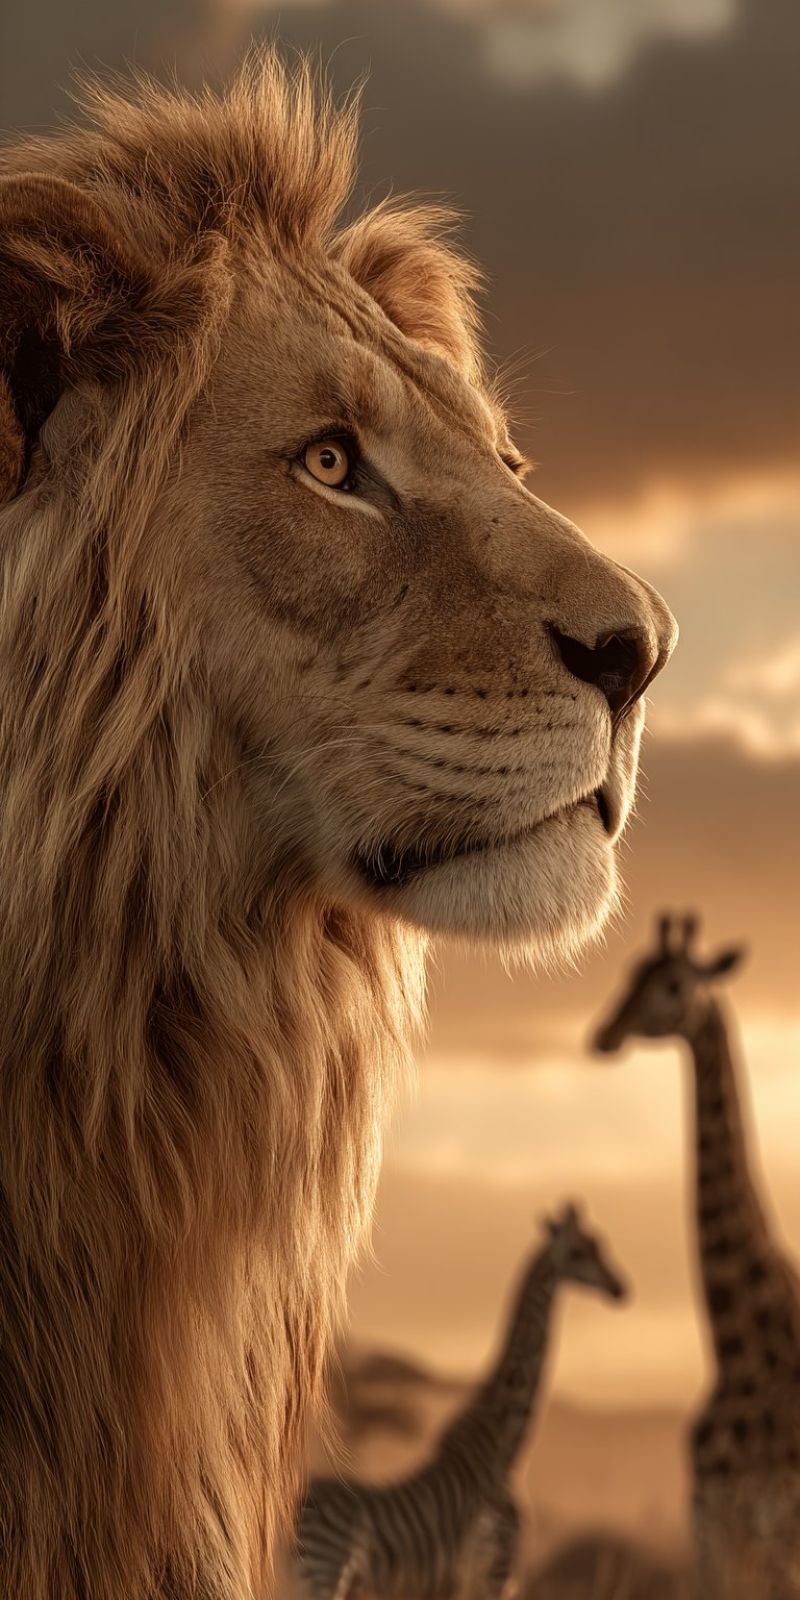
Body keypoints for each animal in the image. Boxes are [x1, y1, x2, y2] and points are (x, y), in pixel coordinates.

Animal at [295, 1201, 629, 1599]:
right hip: (326, 1572)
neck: (503, 1453)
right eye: (579, 1252)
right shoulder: (496, 1567)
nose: (621, 1288)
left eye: (600, 1244)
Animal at [593, 911, 800, 1597]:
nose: (603, 1034)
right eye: (630, 970)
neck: (737, 1352)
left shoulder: (759, 1530)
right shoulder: (712, 1525)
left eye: (675, 985)